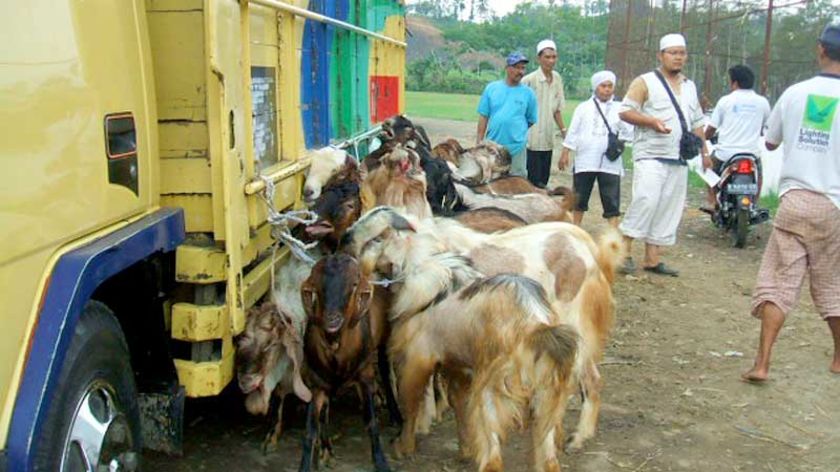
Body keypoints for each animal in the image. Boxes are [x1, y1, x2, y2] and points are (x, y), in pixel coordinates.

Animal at [298, 254, 394, 472]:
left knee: (385, 371)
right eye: (316, 285)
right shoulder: (316, 384)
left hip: (384, 340)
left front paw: (381, 462)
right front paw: (309, 463)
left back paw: (396, 415)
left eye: (354, 284)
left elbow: (371, 422)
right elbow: (311, 430)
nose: (332, 319)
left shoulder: (364, 376)